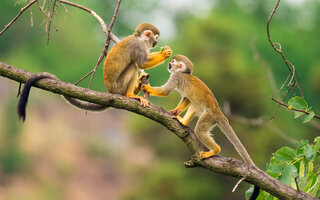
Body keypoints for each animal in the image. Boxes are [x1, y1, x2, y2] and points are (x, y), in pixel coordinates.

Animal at [17, 22, 172, 121]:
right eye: (155, 38)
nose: (156, 43)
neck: (139, 38)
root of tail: (111, 92)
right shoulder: (138, 46)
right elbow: (141, 62)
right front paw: (164, 54)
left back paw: (138, 86)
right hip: (119, 86)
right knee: (133, 66)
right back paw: (130, 95)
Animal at [142, 54, 260, 198]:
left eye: (173, 62)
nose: (169, 64)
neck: (183, 74)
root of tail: (219, 112)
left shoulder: (176, 77)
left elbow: (166, 91)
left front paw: (148, 88)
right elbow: (186, 98)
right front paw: (176, 111)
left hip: (209, 117)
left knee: (199, 129)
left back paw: (215, 150)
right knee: (194, 104)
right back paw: (184, 122)